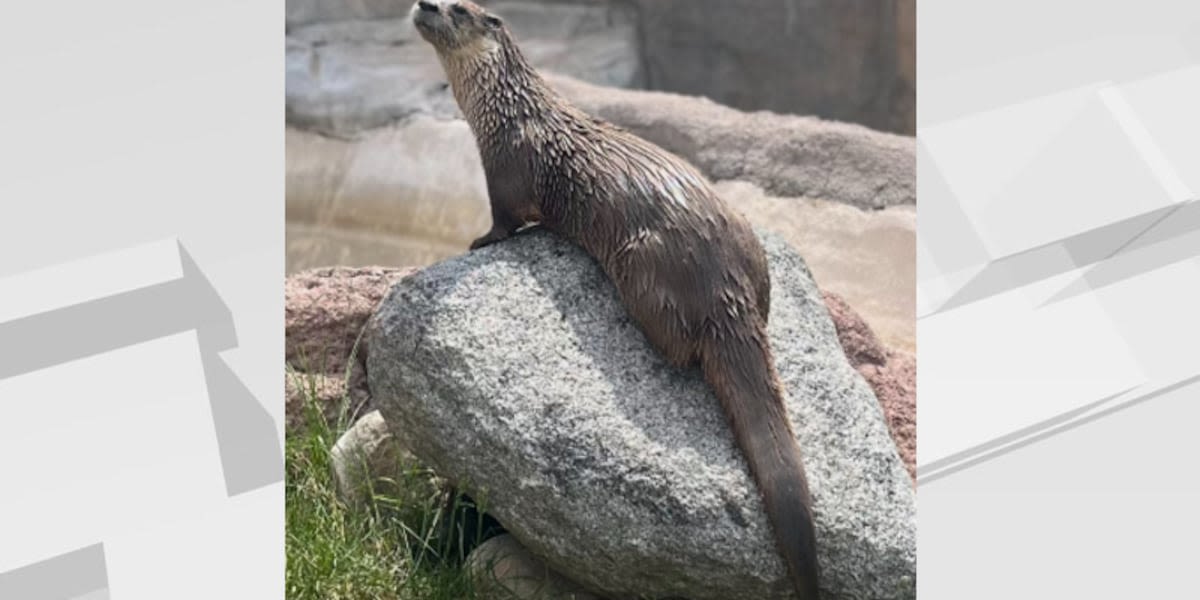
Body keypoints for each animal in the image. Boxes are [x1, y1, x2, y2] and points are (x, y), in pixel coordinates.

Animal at [410, 2, 816, 597]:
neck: (504, 112)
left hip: (642, 266)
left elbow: (506, 221)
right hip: (750, 249)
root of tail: (728, 289)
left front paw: (480, 241)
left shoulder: (505, 171)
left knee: (679, 348)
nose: (425, 5)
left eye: (457, 8)